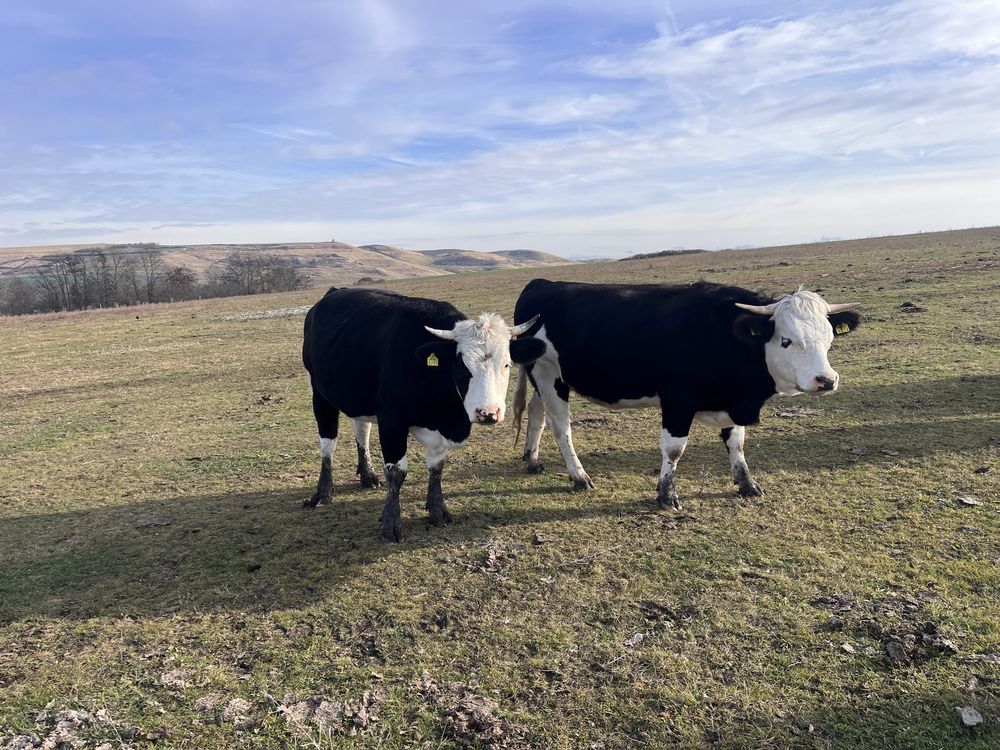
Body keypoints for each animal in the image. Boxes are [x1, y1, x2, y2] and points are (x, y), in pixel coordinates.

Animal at [302, 284, 544, 544]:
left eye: (507, 364)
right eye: (462, 366)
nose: (488, 413)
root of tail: (334, 292)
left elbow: (437, 467)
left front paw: (437, 510)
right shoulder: (391, 423)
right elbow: (396, 473)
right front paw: (390, 525)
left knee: (361, 430)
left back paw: (367, 475)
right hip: (319, 394)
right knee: (328, 443)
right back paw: (323, 492)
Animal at [512, 282, 864, 512]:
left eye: (829, 338)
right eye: (787, 340)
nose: (826, 380)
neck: (726, 334)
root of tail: (543, 283)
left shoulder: (731, 400)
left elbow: (737, 443)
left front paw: (747, 484)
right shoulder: (677, 400)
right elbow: (675, 449)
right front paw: (667, 495)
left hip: (545, 377)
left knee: (537, 412)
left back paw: (532, 459)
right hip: (548, 375)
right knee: (560, 426)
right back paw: (579, 476)